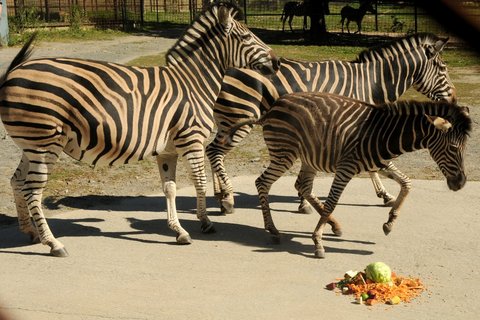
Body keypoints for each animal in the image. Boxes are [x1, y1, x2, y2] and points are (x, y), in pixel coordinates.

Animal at [0, 1, 282, 258]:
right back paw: (53, 243)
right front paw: (205, 222)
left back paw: (30, 232)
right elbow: (199, 182)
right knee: (32, 189)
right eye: (246, 37)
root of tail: (12, 73)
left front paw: (179, 230)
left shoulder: (168, 150)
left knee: (17, 181)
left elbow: (170, 188)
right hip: (44, 143)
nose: (277, 62)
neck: (193, 83)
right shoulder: (192, 139)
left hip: (31, 144)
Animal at [206, 32, 454, 226]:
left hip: (228, 120)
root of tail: (224, 69)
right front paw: (384, 194)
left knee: (212, 151)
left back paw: (220, 196)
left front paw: (303, 200)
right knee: (215, 151)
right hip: (239, 115)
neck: (370, 83)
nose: (453, 99)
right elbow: (371, 166)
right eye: (442, 68)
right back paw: (227, 199)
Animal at [226, 92, 472, 258]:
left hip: (307, 157)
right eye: (453, 148)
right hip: (284, 153)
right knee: (262, 182)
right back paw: (274, 230)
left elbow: (407, 184)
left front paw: (390, 222)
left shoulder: (381, 164)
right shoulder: (346, 167)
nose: (461, 184)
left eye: (465, 147)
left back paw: (334, 225)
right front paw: (317, 242)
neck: (383, 134)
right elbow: (332, 202)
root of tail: (272, 108)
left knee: (303, 186)